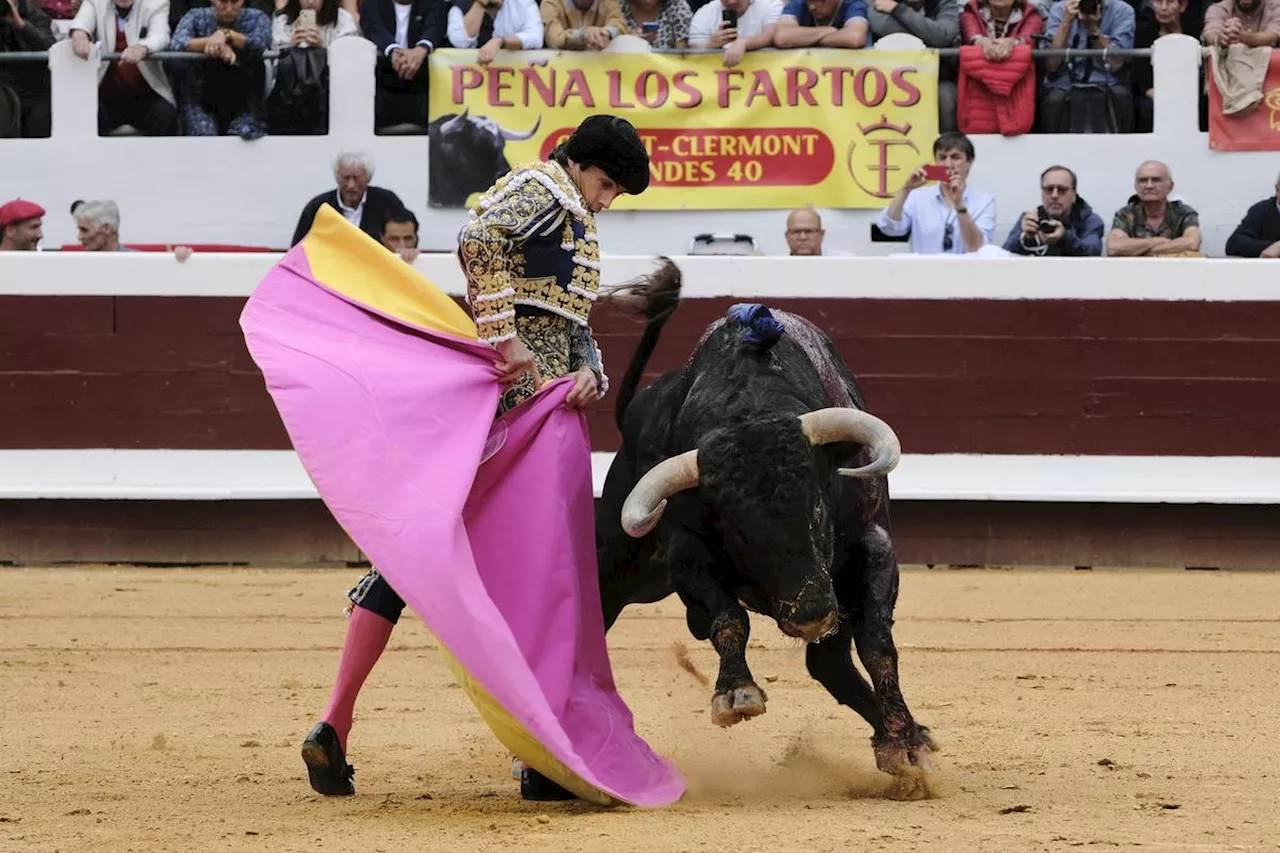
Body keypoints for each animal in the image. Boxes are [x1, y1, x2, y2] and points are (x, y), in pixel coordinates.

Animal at [593, 300, 936, 783]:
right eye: (738, 532)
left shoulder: (873, 545)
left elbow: (877, 644)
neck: (750, 408)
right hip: (617, 561)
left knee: (830, 664)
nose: (809, 615)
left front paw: (902, 742)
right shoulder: (687, 552)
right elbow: (729, 617)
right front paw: (736, 692)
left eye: (817, 508)